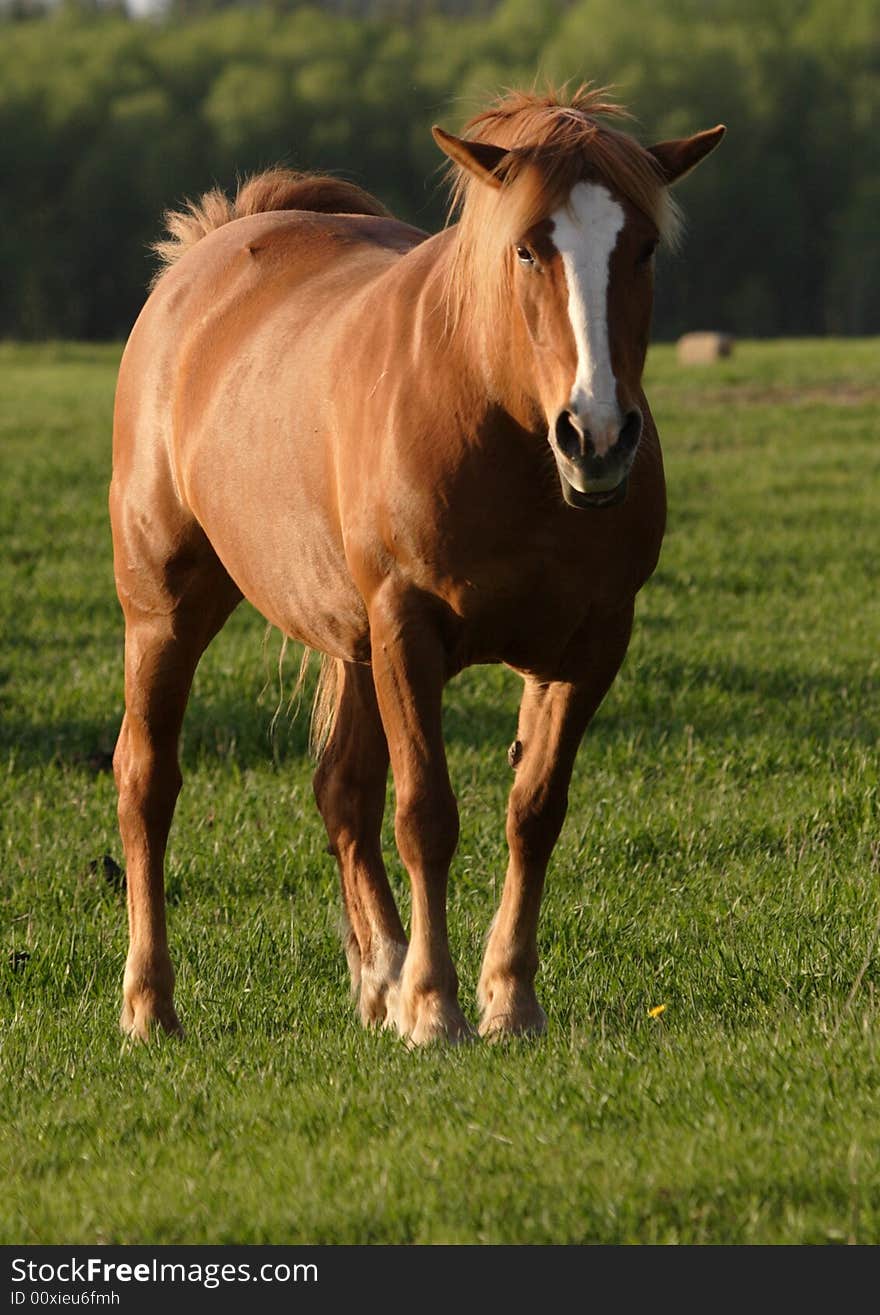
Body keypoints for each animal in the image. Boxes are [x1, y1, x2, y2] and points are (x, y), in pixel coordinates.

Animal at [107, 84, 720, 1046]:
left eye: (645, 247)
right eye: (526, 247)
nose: (598, 437)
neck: (501, 422)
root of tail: (208, 252)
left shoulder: (589, 644)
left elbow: (534, 810)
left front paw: (507, 998)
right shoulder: (408, 625)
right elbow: (426, 813)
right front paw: (436, 1005)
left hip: (353, 643)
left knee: (341, 793)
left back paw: (379, 977)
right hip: (165, 611)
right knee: (148, 783)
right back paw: (150, 1001)